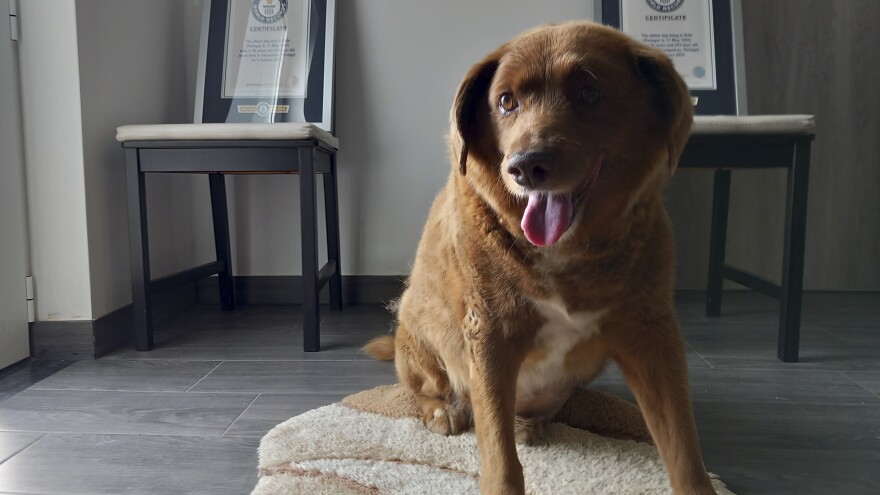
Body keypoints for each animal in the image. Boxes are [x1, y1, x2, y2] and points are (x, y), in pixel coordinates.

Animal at [364, 21, 716, 495]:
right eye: (505, 101)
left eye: (589, 92)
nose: (524, 166)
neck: (565, 252)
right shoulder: (489, 332)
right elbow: (499, 455)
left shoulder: (653, 334)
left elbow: (683, 448)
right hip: (418, 340)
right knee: (425, 388)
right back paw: (443, 410)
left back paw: (530, 423)